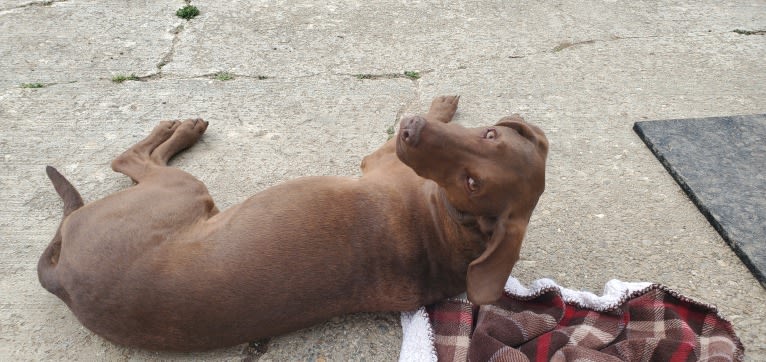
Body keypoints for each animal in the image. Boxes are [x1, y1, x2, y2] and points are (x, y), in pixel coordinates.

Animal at [39, 96, 548, 350]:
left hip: (178, 192)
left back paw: (178, 129)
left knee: (129, 157)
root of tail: (62, 281)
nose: (411, 129)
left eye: (472, 182)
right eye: (489, 134)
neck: (449, 226)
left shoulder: (382, 159)